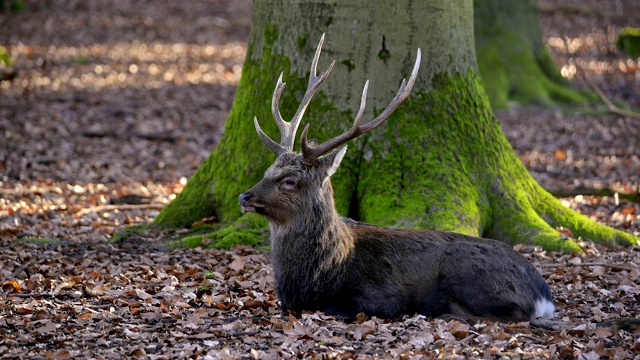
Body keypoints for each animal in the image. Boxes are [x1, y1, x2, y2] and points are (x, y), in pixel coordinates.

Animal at [240, 33, 556, 320]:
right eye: (267, 171)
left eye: (290, 182)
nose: (244, 196)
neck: (319, 277)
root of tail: (544, 296)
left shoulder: (380, 296)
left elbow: (346, 308)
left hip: (469, 272)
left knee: (512, 313)